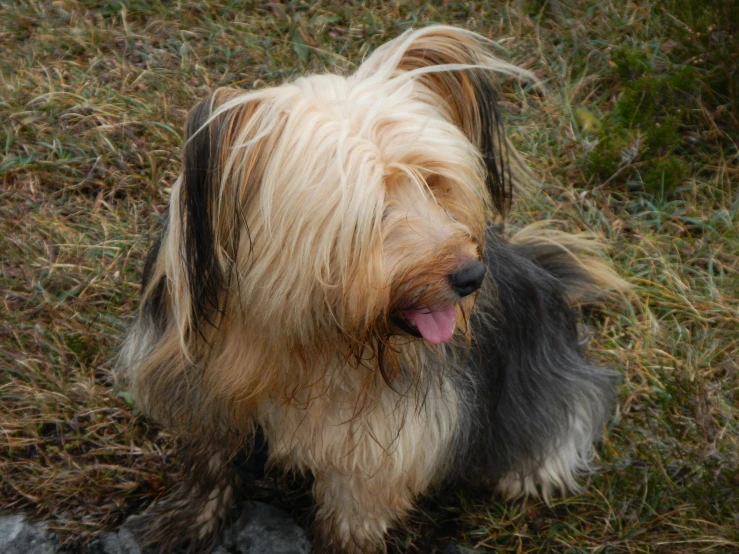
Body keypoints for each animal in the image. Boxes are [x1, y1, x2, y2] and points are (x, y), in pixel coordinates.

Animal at [118, 25, 628, 552]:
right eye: (369, 211)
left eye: (434, 182)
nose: (471, 277)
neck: (305, 343)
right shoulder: (201, 389)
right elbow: (210, 467)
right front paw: (182, 523)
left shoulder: (380, 451)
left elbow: (351, 518)